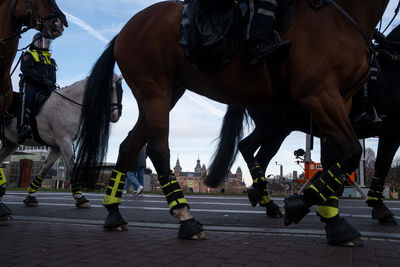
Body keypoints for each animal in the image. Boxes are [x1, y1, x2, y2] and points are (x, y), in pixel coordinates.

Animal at [0, 75, 122, 214]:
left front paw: (31, 196)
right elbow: (71, 166)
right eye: (111, 88)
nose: (116, 115)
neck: (69, 105)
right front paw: (81, 198)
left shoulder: (57, 146)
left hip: (10, 144)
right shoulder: (64, 141)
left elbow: (45, 168)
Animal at [206, 25, 400, 230]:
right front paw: (379, 208)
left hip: (278, 131)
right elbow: (382, 165)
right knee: (247, 147)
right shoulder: (392, 128)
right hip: (272, 126)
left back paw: (265, 200)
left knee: (259, 157)